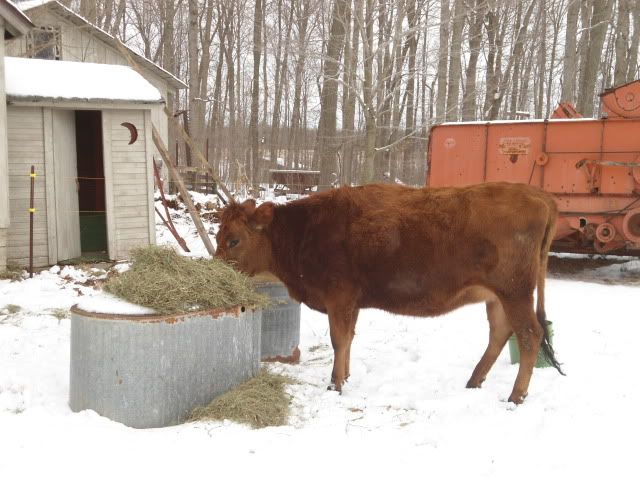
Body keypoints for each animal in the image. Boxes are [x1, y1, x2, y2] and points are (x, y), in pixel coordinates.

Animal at [215, 182, 564, 404]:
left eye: (233, 240)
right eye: (218, 236)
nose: (216, 268)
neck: (305, 232)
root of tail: (538, 195)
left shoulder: (339, 296)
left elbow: (339, 339)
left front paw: (334, 385)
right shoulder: (352, 302)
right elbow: (349, 339)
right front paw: (346, 377)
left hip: (515, 292)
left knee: (529, 334)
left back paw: (516, 396)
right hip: (496, 296)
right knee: (500, 333)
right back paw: (474, 381)